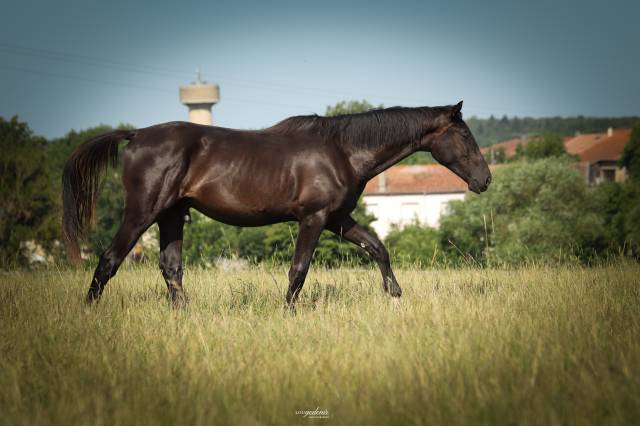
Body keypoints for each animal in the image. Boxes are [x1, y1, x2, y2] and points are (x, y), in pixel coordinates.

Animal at [62, 101, 491, 308]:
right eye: (465, 136)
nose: (485, 179)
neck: (342, 150)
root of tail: (134, 135)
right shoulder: (314, 219)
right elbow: (299, 270)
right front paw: (289, 312)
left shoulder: (337, 218)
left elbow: (377, 247)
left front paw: (394, 294)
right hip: (142, 213)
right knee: (108, 261)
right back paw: (88, 313)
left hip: (172, 216)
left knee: (171, 269)